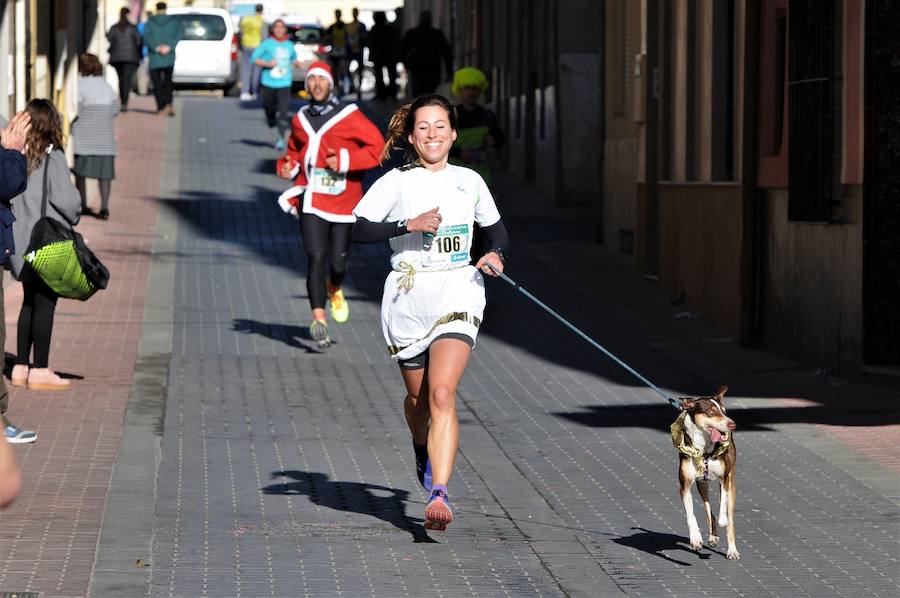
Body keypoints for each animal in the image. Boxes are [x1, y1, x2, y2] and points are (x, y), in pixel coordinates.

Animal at [676, 386, 740, 560]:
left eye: (724, 411)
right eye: (710, 412)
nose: (732, 424)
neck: (703, 450)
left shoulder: (724, 479)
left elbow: (723, 506)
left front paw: (723, 520)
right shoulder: (685, 486)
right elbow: (691, 515)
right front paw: (695, 539)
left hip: (732, 484)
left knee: (730, 518)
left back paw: (732, 550)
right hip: (701, 483)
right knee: (707, 508)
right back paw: (712, 537)